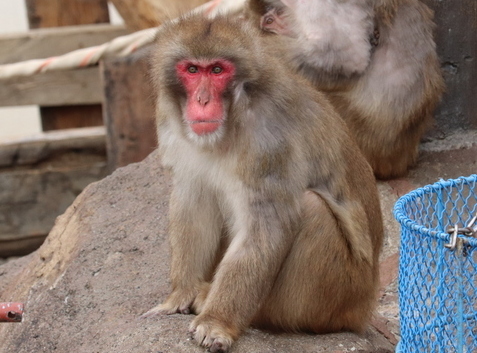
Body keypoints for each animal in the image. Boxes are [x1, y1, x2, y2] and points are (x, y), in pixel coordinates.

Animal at [144, 12, 384, 350]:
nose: (202, 100)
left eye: (217, 70)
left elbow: (266, 228)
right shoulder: (170, 121)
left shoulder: (270, 140)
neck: (233, 119)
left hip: (338, 295)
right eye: (192, 69)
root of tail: (365, 305)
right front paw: (181, 293)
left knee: (312, 209)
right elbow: (193, 201)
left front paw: (217, 321)